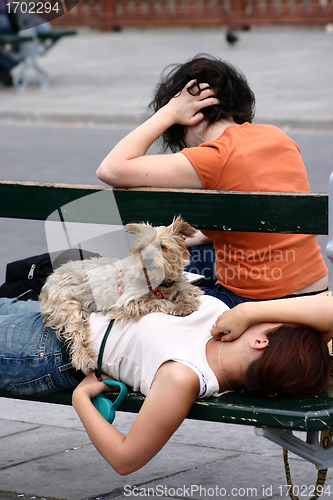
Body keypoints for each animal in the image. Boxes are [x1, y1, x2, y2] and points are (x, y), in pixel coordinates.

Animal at [40, 217, 204, 374]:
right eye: (141, 249)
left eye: (161, 246)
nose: (147, 259)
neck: (159, 283)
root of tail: (50, 278)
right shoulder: (128, 302)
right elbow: (158, 302)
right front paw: (177, 307)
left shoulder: (182, 285)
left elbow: (189, 291)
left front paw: (186, 302)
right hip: (67, 303)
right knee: (75, 334)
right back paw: (84, 359)